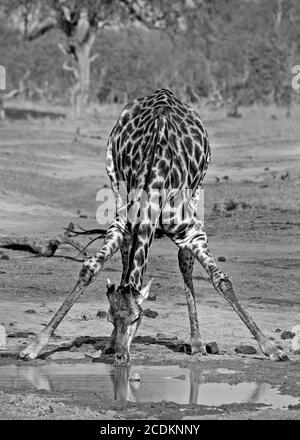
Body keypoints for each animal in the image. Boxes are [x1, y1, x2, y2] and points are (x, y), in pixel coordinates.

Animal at [19, 88, 290, 364]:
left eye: (137, 318)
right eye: (109, 318)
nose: (120, 357)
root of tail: (164, 92)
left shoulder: (192, 231)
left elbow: (221, 280)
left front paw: (272, 348)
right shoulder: (121, 223)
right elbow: (90, 269)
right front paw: (35, 345)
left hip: (197, 189)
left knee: (185, 261)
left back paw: (197, 342)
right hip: (113, 175)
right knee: (128, 253)